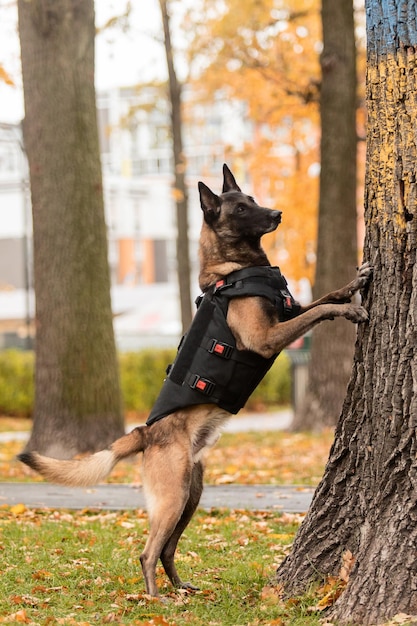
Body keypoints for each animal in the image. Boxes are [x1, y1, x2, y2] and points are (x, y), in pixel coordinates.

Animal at [18, 165, 370, 596]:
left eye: (253, 200)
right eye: (240, 209)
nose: (278, 214)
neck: (233, 270)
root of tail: (145, 432)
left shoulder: (289, 311)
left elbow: (321, 299)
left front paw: (353, 285)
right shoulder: (264, 339)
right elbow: (318, 313)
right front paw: (351, 311)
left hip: (192, 494)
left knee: (167, 549)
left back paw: (181, 588)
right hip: (173, 497)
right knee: (147, 552)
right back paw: (157, 601)